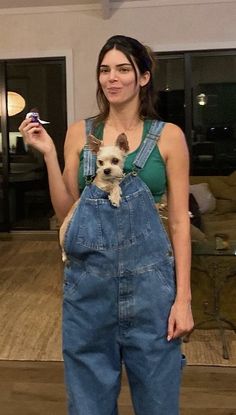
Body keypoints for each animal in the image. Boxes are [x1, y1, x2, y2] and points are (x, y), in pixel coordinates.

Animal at [59, 133, 129, 262]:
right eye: (100, 162)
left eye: (115, 160)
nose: (106, 170)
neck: (110, 179)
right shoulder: (101, 186)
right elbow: (113, 186)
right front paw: (115, 197)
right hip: (63, 236)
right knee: (63, 249)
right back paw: (65, 256)